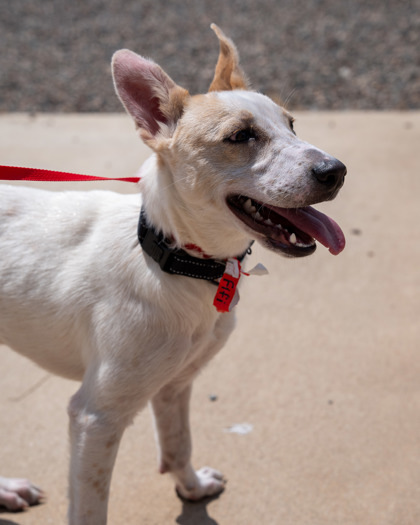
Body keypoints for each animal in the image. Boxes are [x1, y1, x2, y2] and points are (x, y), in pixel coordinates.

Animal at [0, 24, 346, 524]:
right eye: (241, 135)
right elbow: (90, 506)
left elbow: (178, 445)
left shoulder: (175, 385)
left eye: (292, 124)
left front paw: (193, 487)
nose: (336, 171)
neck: (178, 263)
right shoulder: (94, 417)